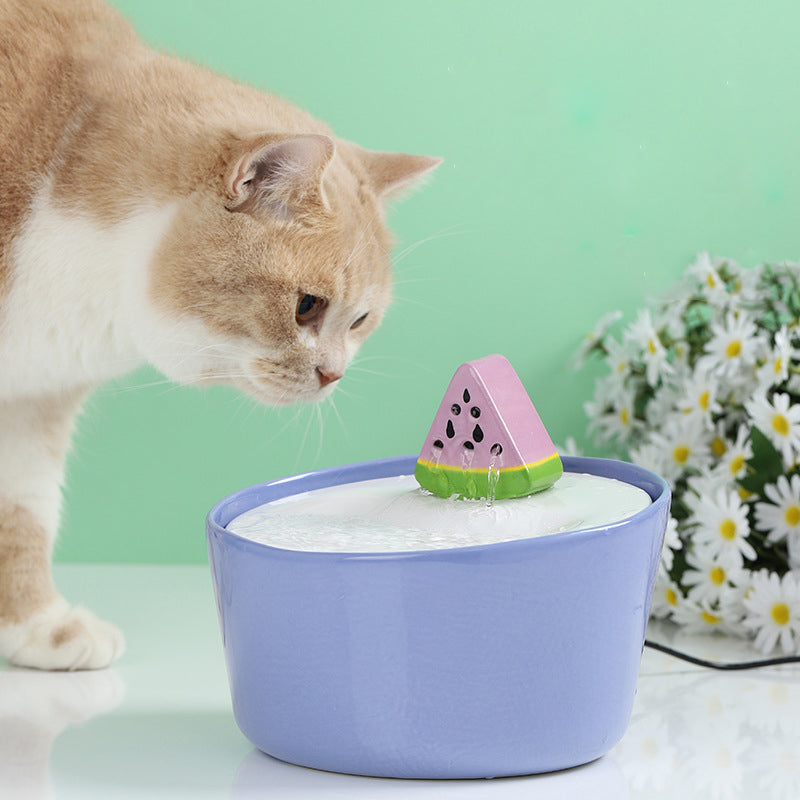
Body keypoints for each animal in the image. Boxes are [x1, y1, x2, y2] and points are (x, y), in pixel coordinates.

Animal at [0, 0, 440, 672]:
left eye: (361, 320)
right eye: (307, 306)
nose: (333, 374)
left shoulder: (32, 399)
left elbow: (23, 509)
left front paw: (37, 626)